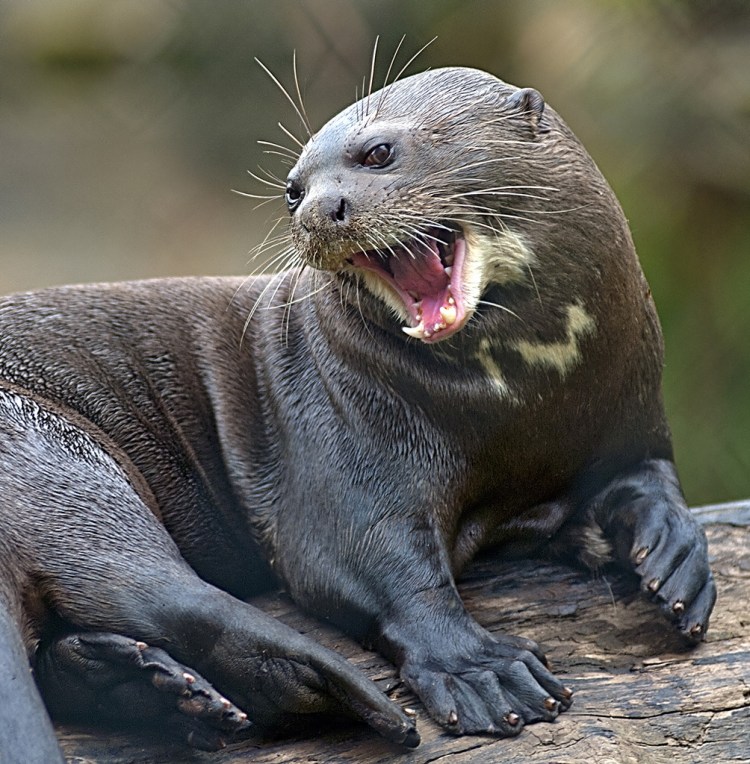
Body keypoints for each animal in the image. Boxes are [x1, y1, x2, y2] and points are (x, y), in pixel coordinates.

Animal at [0, 67, 715, 762]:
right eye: (293, 191)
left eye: (378, 152)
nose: (320, 208)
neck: (523, 412)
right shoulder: (340, 437)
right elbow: (375, 564)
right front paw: (479, 668)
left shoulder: (626, 420)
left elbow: (650, 478)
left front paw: (676, 556)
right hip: (58, 456)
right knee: (162, 592)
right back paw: (341, 694)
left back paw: (152, 687)